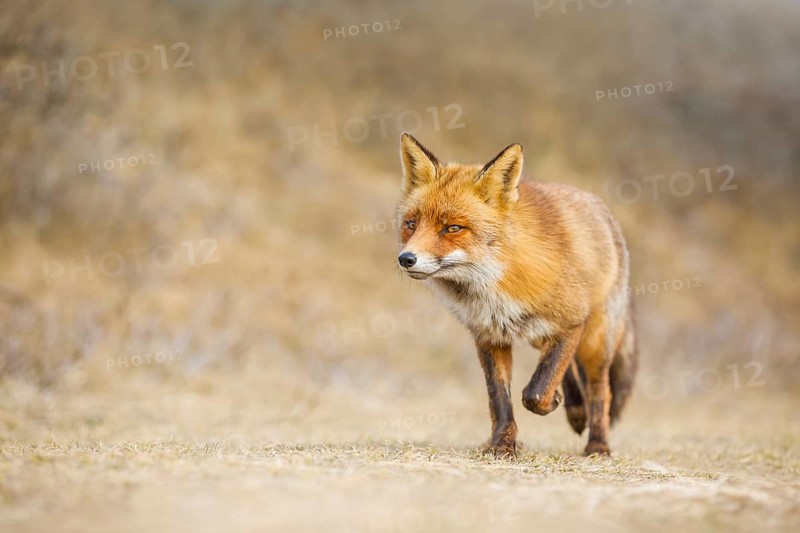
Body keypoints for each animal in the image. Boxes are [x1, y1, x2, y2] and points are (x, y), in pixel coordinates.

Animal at [395, 133, 638, 457]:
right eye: (411, 224)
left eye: (453, 228)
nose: (406, 259)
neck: (494, 287)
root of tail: (602, 209)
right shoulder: (489, 336)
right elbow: (499, 399)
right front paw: (502, 444)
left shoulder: (571, 321)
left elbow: (536, 391)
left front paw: (550, 404)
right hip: (542, 337)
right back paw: (575, 410)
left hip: (596, 340)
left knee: (600, 390)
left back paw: (597, 443)